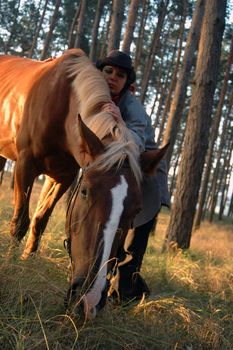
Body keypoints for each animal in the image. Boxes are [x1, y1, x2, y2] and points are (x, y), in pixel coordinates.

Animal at [0, 49, 167, 320]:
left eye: (137, 211)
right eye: (86, 191)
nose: (89, 299)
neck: (63, 101)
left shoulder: (63, 176)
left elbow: (39, 221)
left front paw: (26, 262)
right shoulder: (25, 165)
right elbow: (21, 222)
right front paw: (10, 264)